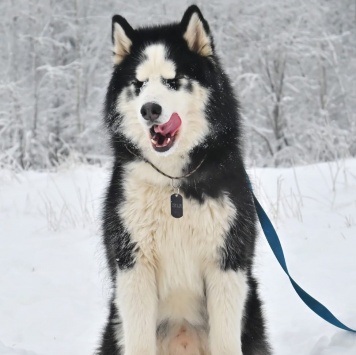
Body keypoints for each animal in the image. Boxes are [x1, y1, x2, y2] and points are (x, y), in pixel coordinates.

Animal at [97, 5, 270, 355]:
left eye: (173, 81)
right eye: (138, 84)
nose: (150, 109)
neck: (174, 184)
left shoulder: (227, 265)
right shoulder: (133, 267)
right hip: (115, 322)